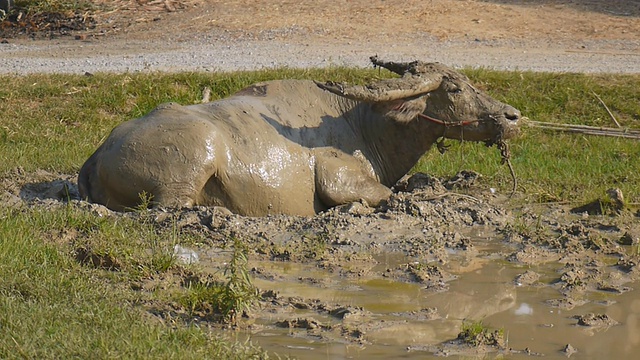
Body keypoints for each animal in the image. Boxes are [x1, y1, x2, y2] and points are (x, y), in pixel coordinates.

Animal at [79, 55, 520, 214]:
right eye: (455, 89)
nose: (513, 116)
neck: (365, 126)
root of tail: (97, 155)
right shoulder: (339, 179)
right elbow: (385, 193)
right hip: (195, 157)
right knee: (172, 206)